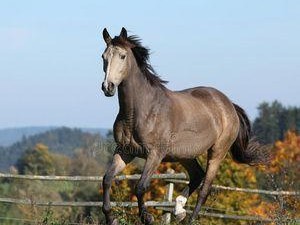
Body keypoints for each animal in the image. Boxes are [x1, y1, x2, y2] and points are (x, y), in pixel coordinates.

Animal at [99, 27, 268, 224]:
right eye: (103, 56)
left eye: (123, 56)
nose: (108, 87)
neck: (139, 111)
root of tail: (229, 105)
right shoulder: (124, 151)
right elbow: (107, 179)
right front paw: (110, 217)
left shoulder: (155, 154)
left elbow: (141, 186)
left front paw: (147, 217)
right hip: (184, 154)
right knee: (197, 175)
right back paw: (179, 209)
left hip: (217, 152)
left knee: (205, 188)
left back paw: (188, 217)